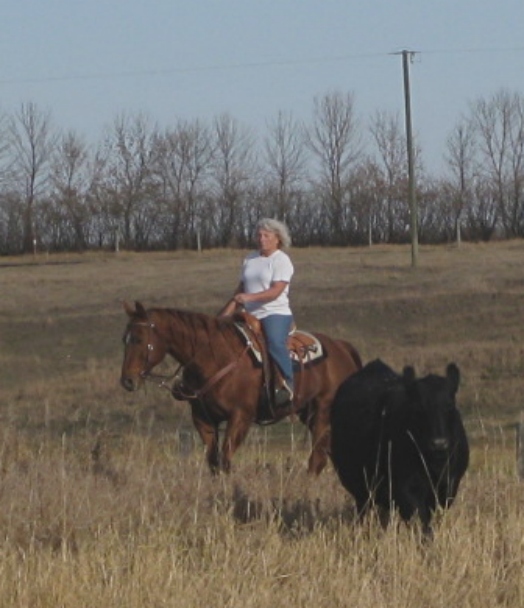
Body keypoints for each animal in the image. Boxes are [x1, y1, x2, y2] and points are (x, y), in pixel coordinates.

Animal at [121, 302, 362, 478]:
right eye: (124, 339)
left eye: (139, 339)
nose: (127, 381)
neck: (214, 358)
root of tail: (341, 347)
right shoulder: (203, 419)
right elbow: (213, 462)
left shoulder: (240, 417)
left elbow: (225, 458)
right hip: (310, 414)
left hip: (323, 413)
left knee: (317, 457)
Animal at [330, 358, 468, 536]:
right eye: (418, 407)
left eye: (450, 405)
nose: (439, 443)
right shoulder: (405, 489)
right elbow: (420, 522)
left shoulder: (449, 486)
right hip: (361, 488)